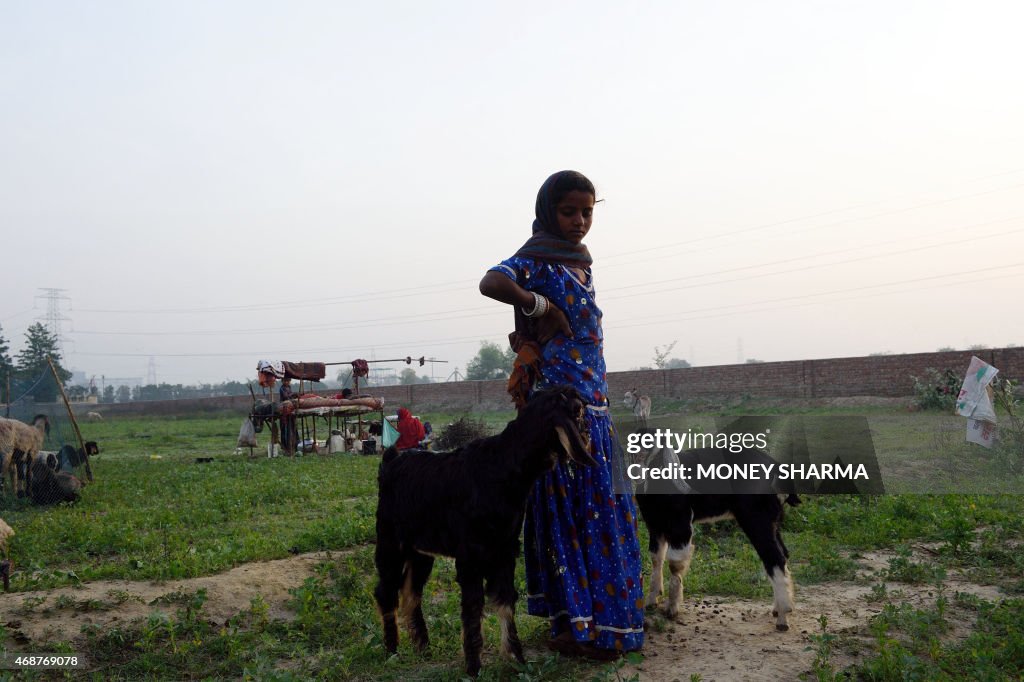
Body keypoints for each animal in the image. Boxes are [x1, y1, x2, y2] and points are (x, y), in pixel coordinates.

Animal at [376, 382, 598, 675]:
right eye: (578, 409)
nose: (588, 432)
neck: (501, 467)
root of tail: (390, 460)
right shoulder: (471, 554)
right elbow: (473, 605)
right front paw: (473, 666)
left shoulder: (505, 550)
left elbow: (505, 601)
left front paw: (516, 658)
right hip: (390, 541)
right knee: (386, 591)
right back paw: (392, 649)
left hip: (420, 551)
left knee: (411, 593)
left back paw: (423, 646)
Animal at [630, 446, 798, 626]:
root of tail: (776, 467)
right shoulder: (655, 525)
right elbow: (656, 559)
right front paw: (651, 601)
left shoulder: (680, 523)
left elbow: (675, 564)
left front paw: (671, 610)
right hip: (773, 520)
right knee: (783, 554)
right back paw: (780, 609)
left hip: (756, 517)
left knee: (774, 557)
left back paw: (782, 618)